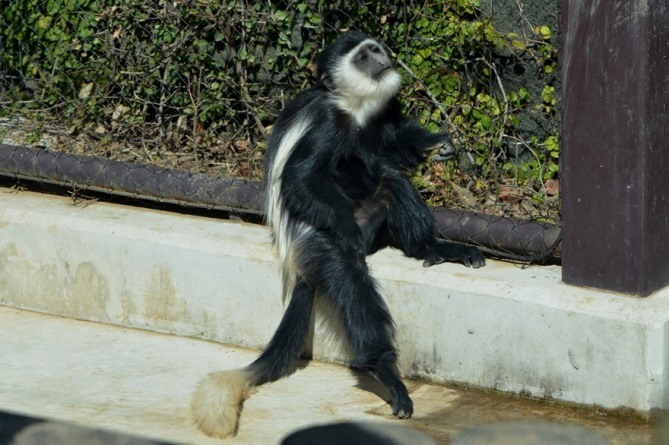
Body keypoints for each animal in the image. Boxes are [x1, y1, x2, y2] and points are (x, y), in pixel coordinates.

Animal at [190, 31, 482, 438]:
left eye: (373, 50)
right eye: (362, 57)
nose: (380, 57)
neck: (353, 107)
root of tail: (295, 258)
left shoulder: (378, 118)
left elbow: (392, 144)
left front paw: (435, 144)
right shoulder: (329, 124)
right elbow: (299, 180)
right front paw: (346, 228)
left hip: (372, 216)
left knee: (391, 180)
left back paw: (434, 247)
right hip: (318, 242)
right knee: (350, 275)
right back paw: (382, 370)